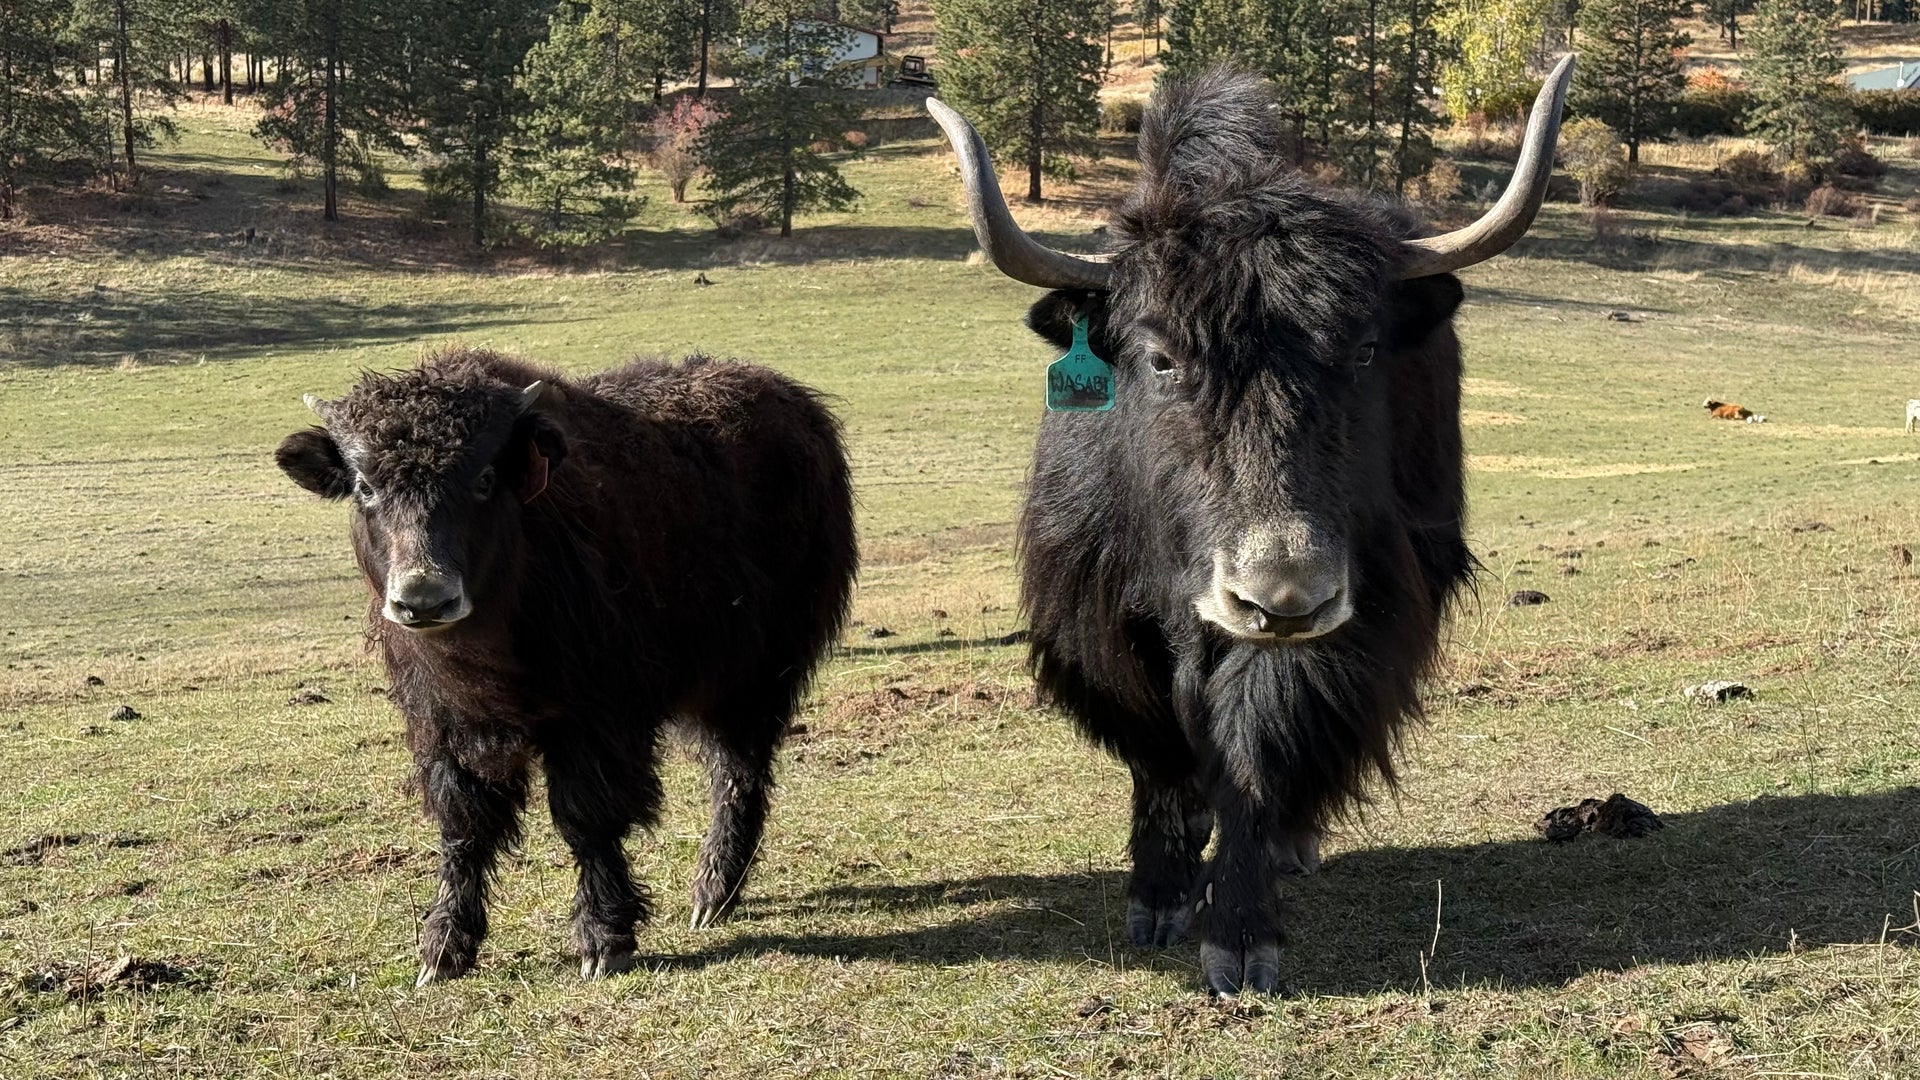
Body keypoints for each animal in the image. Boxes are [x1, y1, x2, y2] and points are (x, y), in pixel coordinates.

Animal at [275, 347, 857, 985]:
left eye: (483, 480)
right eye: (365, 487)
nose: (424, 599)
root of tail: (798, 405)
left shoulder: (596, 718)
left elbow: (587, 817)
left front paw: (604, 940)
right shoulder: (443, 723)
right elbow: (462, 823)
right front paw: (444, 947)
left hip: (754, 677)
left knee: (738, 773)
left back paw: (712, 895)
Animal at [925, 58, 1573, 994]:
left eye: (1365, 350)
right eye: (1161, 357)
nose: (1282, 597)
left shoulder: (1349, 616)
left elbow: (1256, 752)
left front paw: (1237, 934)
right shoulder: (1101, 615)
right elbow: (1160, 750)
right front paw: (1158, 896)